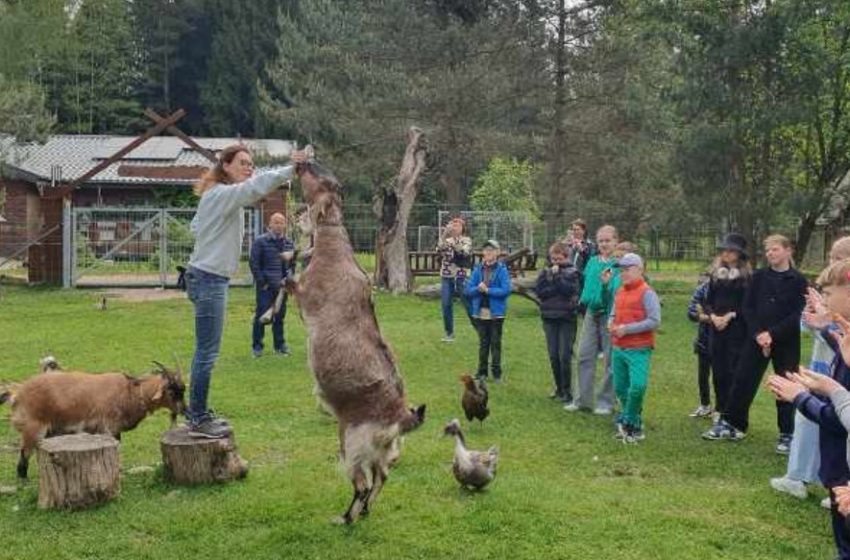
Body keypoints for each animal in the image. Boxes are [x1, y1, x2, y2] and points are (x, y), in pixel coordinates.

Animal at [1, 364, 185, 476]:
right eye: (171, 391)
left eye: (182, 389)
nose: (184, 410)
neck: (129, 391)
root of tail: (17, 392)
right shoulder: (109, 428)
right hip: (32, 428)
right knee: (23, 457)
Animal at [288, 154, 428, 524]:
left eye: (319, 177)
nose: (303, 160)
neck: (333, 248)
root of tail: (398, 418)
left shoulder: (305, 295)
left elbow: (286, 282)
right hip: (381, 450)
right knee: (382, 477)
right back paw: (362, 513)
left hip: (351, 441)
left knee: (362, 483)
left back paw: (346, 517)